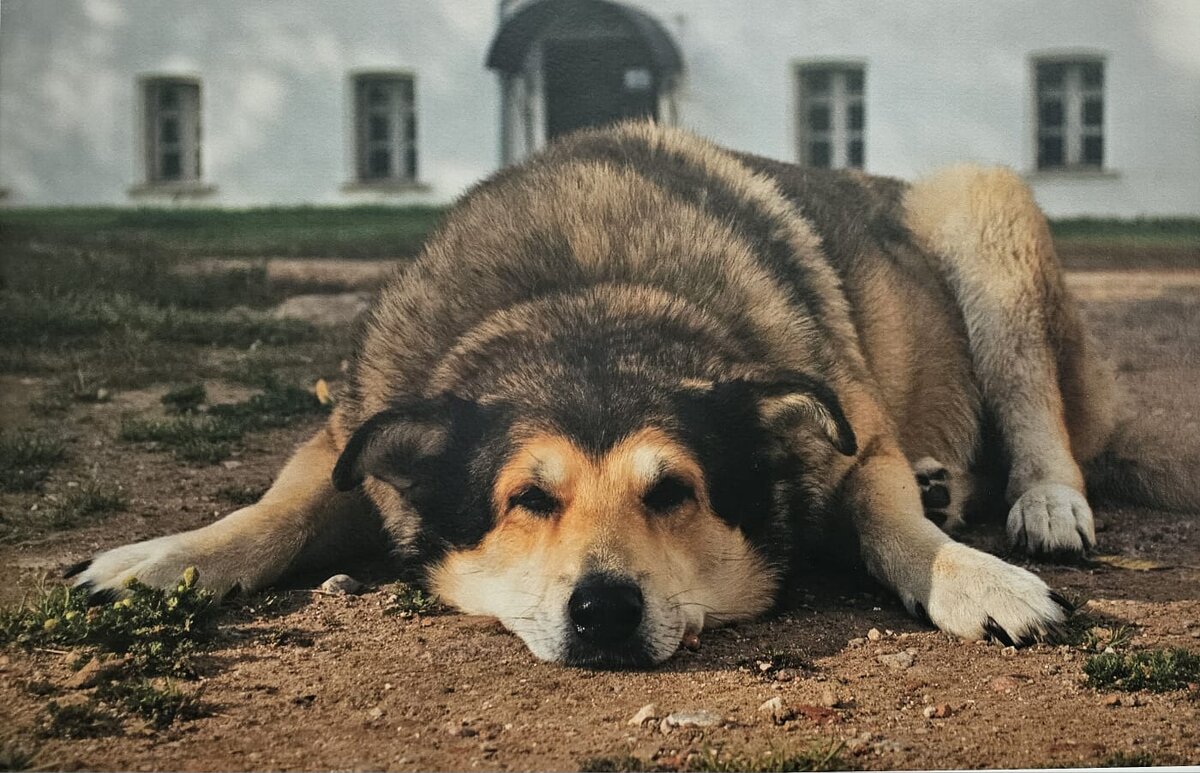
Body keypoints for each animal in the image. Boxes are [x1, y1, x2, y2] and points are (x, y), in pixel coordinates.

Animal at [67, 122, 1175, 668]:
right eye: (527, 499)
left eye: (673, 490)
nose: (603, 608)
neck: (589, 305)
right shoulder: (352, 434)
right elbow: (275, 509)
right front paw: (155, 562)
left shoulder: (851, 435)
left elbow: (896, 523)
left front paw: (974, 576)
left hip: (986, 214)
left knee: (1038, 413)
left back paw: (1044, 504)